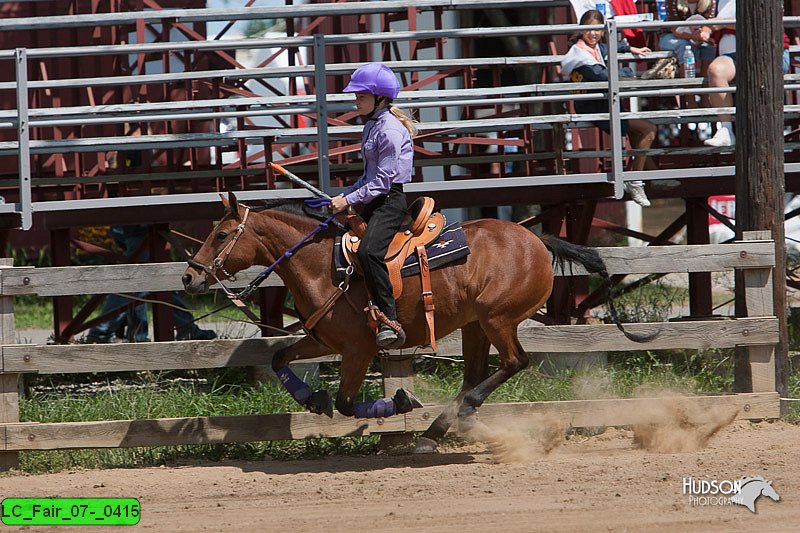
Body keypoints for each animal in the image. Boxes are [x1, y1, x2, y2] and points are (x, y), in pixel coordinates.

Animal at [183, 191, 648, 448]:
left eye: (220, 235)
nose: (189, 276)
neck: (321, 265)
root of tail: (537, 238)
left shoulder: (359, 349)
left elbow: (346, 402)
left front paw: (403, 402)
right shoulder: (324, 340)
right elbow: (280, 359)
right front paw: (310, 399)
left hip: (497, 318)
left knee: (514, 362)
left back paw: (459, 415)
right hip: (474, 325)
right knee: (475, 374)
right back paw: (436, 432)